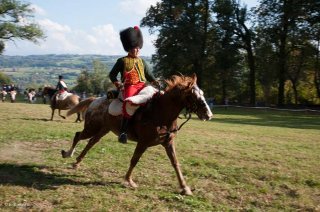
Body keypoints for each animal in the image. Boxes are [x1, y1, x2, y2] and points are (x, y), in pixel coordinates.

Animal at [62, 73, 212, 195]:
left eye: (202, 93)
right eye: (192, 96)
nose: (208, 115)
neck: (161, 113)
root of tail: (95, 100)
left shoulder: (168, 143)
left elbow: (175, 163)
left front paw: (184, 187)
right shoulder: (143, 142)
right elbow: (135, 159)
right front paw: (129, 180)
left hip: (103, 129)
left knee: (91, 142)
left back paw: (77, 162)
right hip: (92, 128)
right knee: (79, 136)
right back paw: (68, 154)